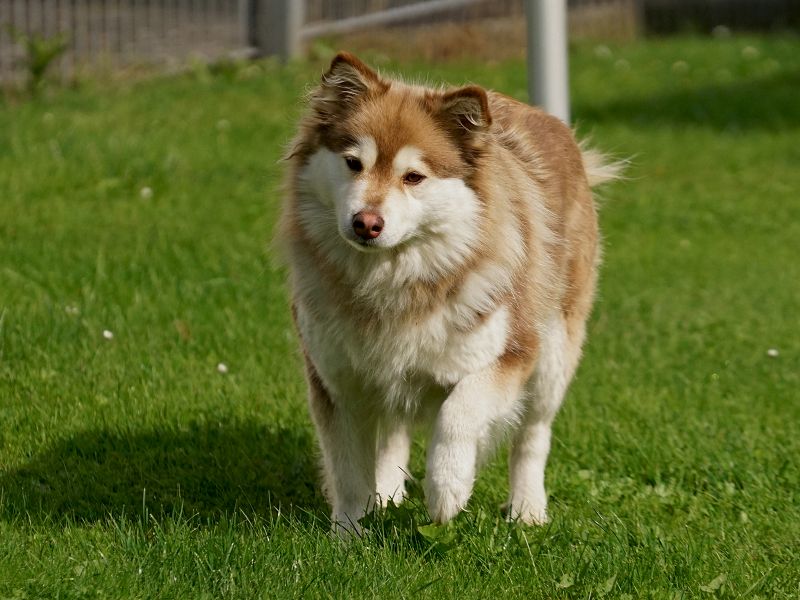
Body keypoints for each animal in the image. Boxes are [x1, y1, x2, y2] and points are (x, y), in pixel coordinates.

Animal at [278, 52, 620, 536]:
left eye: (414, 177)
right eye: (353, 163)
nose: (367, 223)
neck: (395, 283)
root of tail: (548, 119)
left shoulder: (509, 354)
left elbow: (459, 411)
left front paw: (446, 491)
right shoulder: (337, 381)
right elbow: (347, 470)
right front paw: (349, 533)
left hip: (553, 354)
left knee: (533, 434)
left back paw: (527, 508)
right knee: (394, 429)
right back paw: (388, 493)